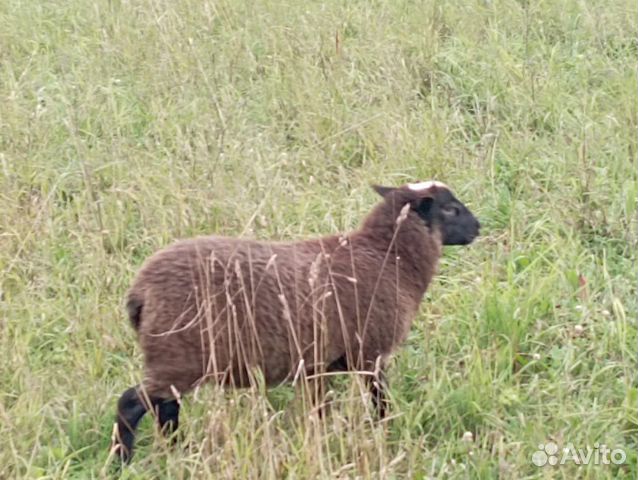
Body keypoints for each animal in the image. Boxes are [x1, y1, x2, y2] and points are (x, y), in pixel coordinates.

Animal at [112, 180, 480, 462]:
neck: (388, 257)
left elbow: (318, 411)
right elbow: (380, 403)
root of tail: (140, 291)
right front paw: (384, 434)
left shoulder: (320, 365)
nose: (479, 227)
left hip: (177, 360)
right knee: (132, 404)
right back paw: (123, 461)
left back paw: (179, 451)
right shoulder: (370, 354)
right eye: (450, 209)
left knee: (166, 409)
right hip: (177, 356)